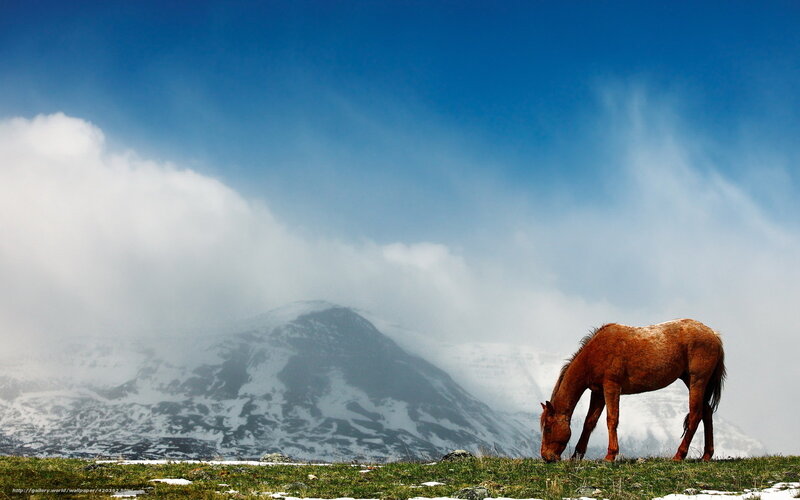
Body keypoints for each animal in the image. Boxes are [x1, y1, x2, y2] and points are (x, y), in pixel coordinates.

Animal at [539, 318, 725, 462]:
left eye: (548, 428)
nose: (546, 457)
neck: (594, 354)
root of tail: (714, 335)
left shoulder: (611, 387)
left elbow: (611, 420)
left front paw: (610, 455)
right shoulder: (598, 392)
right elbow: (589, 422)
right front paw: (576, 456)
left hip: (697, 382)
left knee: (695, 415)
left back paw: (679, 455)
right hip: (692, 382)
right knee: (707, 412)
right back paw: (706, 456)